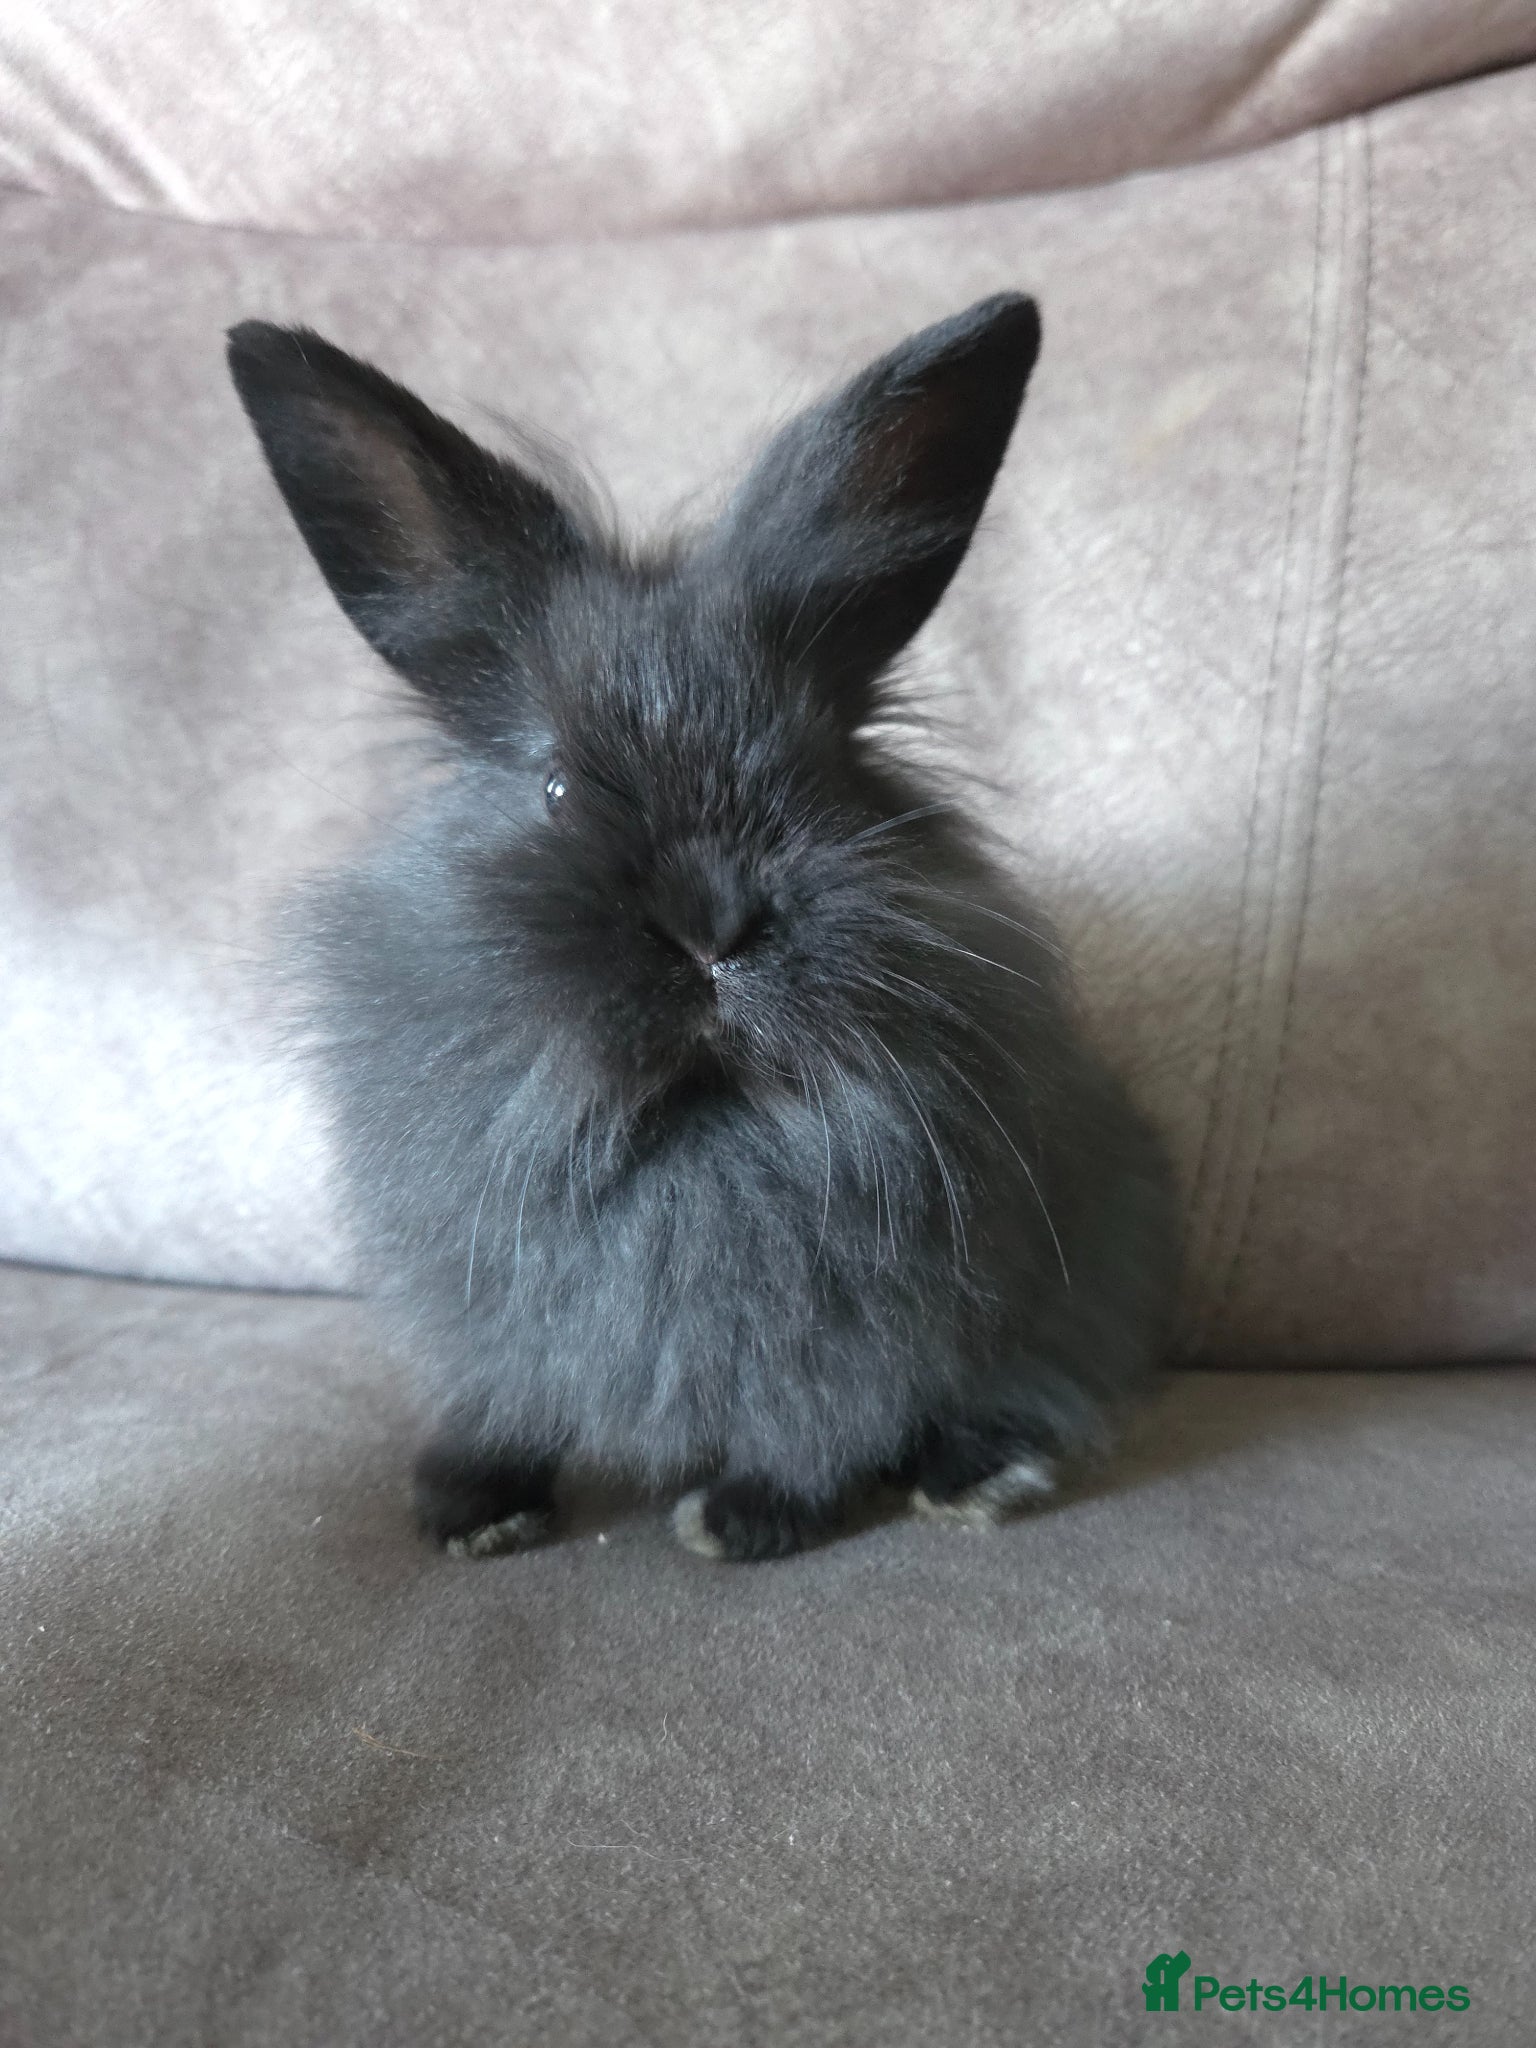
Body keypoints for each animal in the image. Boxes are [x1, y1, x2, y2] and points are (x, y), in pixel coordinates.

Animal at [227, 293, 1177, 1564]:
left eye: (823, 768)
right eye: (557, 789)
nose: (710, 925)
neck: (694, 1120)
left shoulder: (854, 1324)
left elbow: (816, 1417)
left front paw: (746, 1518)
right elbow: (502, 1393)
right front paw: (470, 1505)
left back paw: (975, 1476)